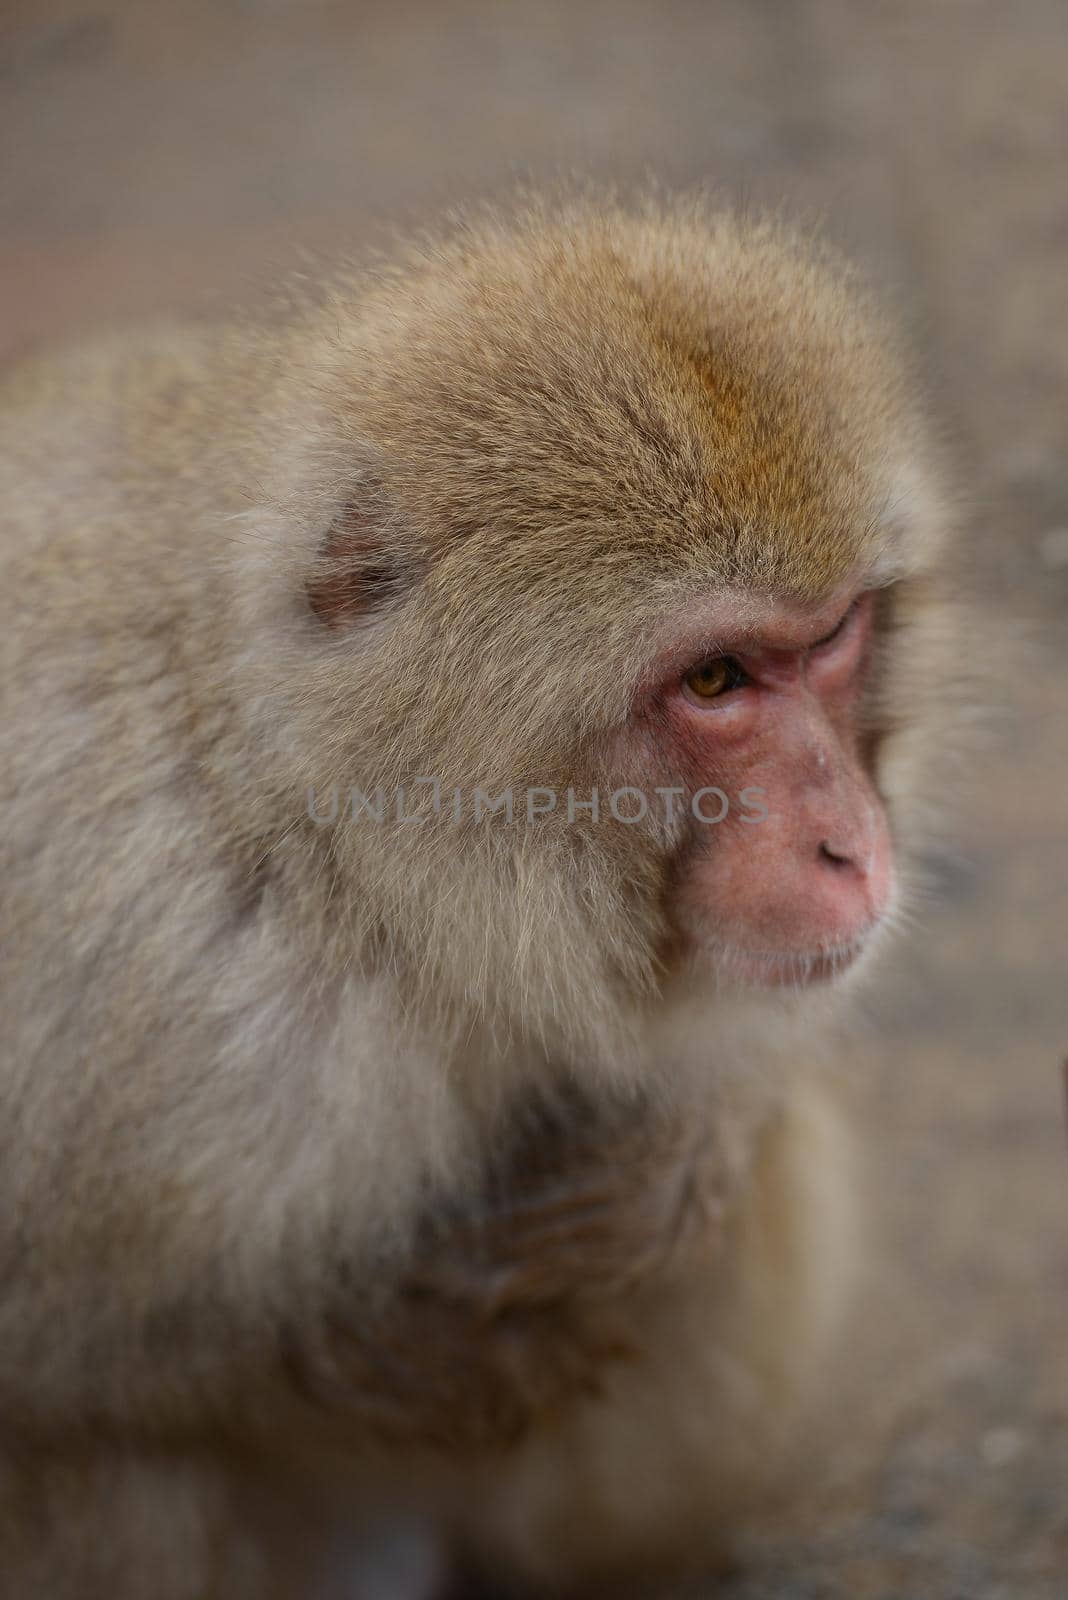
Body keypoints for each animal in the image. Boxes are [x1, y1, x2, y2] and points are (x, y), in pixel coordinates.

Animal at [0, 193, 965, 1593]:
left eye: (833, 635)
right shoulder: (184, 1011)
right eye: (717, 680)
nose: (853, 843)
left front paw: (681, 1154)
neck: (339, 860)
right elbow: (77, 1363)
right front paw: (393, 1341)